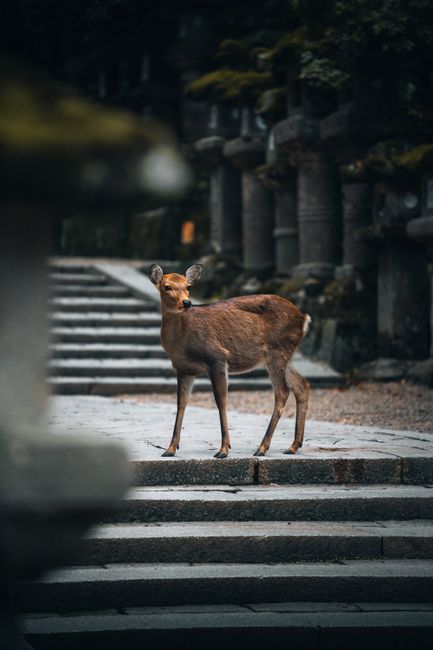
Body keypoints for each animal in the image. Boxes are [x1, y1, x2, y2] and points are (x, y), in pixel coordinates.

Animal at [149, 263, 311, 459]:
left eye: (188, 286)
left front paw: (224, 449)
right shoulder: (183, 368)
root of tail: (304, 318)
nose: (187, 303)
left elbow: (221, 400)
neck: (181, 340)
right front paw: (170, 448)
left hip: (277, 351)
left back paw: (262, 447)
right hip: (285, 355)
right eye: (167, 286)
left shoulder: (217, 357)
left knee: (282, 392)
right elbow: (181, 403)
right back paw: (293, 446)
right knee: (302, 385)